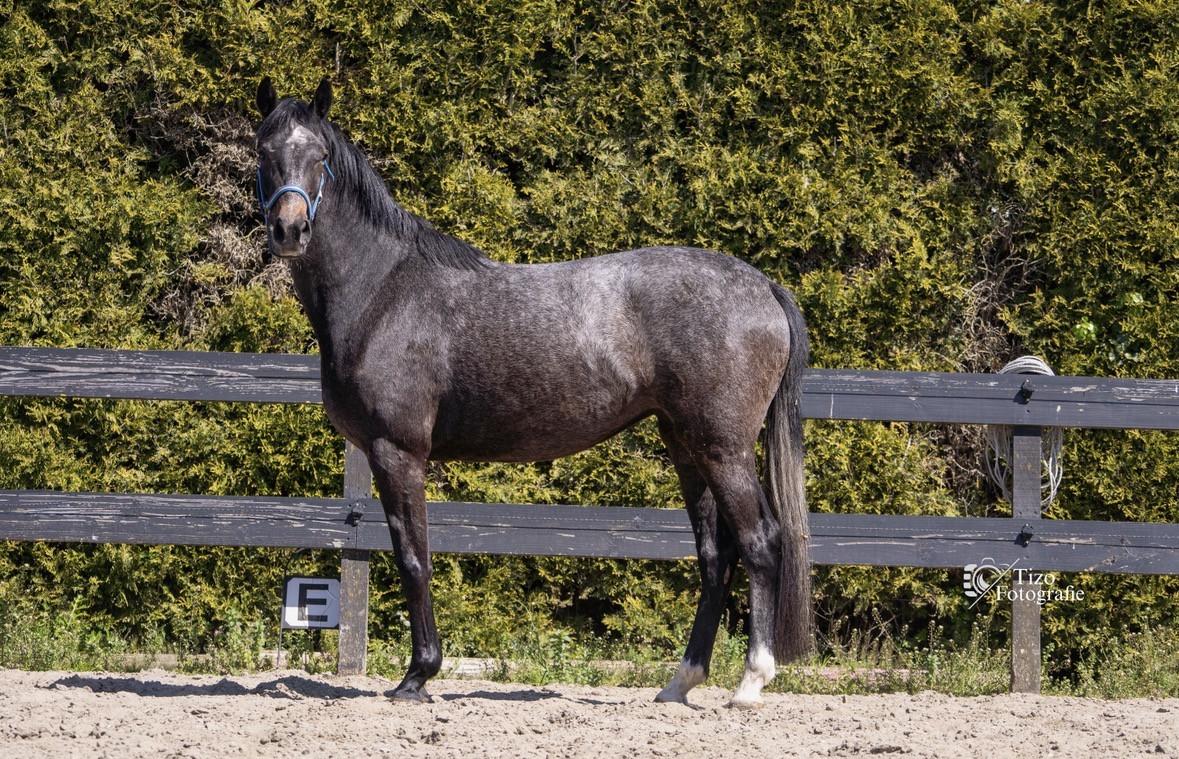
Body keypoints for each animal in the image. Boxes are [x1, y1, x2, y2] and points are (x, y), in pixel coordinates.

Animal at [253, 77, 812, 708]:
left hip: (724, 447)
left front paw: (417, 676)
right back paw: (680, 682)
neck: (384, 291)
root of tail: (763, 286)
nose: (290, 230)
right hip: (687, 446)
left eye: (320, 155)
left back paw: (751, 682)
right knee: (715, 557)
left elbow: (413, 559)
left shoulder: (397, 453)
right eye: (265, 150)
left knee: (761, 543)